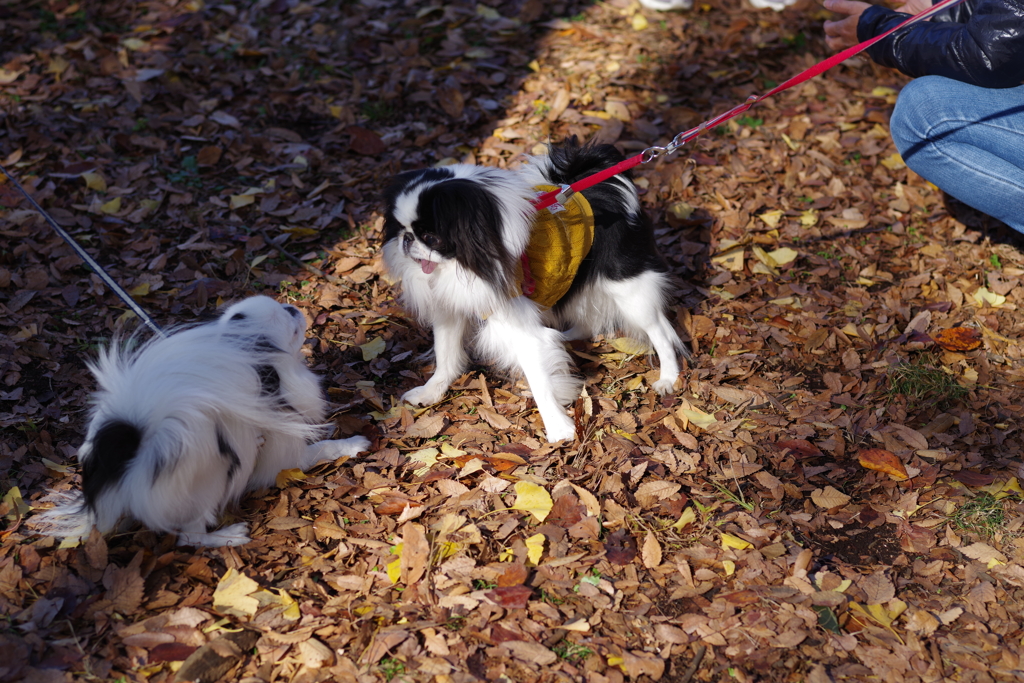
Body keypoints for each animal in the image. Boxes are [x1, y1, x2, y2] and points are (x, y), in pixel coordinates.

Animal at [29, 296, 372, 548]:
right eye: (288, 320)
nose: (293, 307)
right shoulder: (287, 460)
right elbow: (324, 449)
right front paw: (353, 443)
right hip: (209, 478)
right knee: (188, 538)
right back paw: (229, 537)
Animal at [380, 136, 684, 440]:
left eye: (431, 236)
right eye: (401, 228)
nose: (407, 239)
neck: (469, 261)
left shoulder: (517, 326)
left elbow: (539, 379)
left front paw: (558, 428)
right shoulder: (451, 309)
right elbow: (445, 355)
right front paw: (431, 392)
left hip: (628, 289)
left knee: (659, 331)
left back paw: (668, 377)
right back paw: (566, 336)